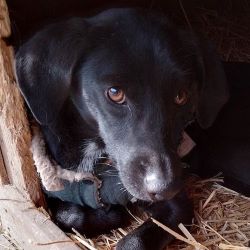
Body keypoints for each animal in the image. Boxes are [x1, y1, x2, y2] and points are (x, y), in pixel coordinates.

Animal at [15, 8, 230, 250]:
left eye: (181, 96)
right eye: (115, 93)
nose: (164, 187)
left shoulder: (178, 206)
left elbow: (135, 241)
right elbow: (70, 215)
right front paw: (111, 216)